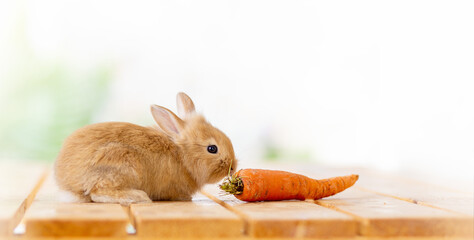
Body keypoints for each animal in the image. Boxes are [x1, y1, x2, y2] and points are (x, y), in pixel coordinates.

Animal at [54, 93, 237, 205]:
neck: (182, 155)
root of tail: (67, 184)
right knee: (98, 192)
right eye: (212, 148)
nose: (233, 167)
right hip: (119, 163)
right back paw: (138, 197)